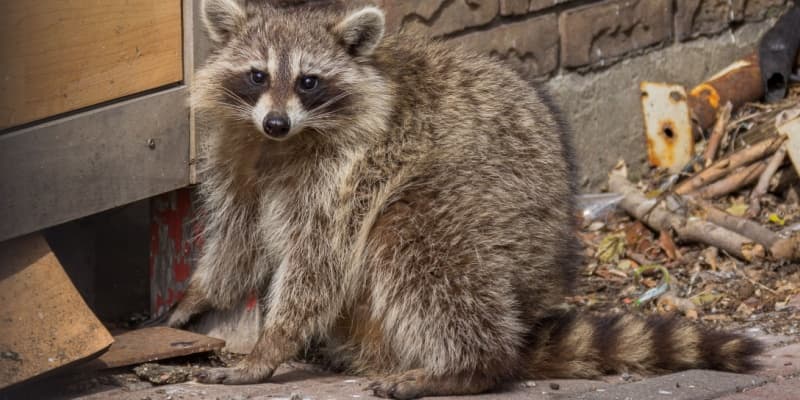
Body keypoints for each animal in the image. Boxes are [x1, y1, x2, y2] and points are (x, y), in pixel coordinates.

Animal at [168, 0, 762, 398]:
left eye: (309, 82)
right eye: (257, 75)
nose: (276, 121)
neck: (286, 142)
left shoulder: (345, 173)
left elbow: (318, 263)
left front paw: (272, 343)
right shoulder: (240, 153)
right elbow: (240, 239)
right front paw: (200, 293)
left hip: (491, 214)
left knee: (418, 245)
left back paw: (469, 365)